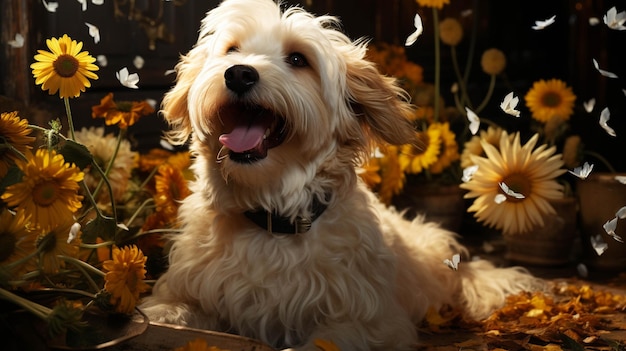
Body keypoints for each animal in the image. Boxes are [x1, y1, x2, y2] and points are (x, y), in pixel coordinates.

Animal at [139, 0, 540, 350]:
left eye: (298, 59)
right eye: (232, 49)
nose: (239, 73)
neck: (273, 221)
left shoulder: (369, 322)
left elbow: (323, 342)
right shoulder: (190, 291)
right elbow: (167, 312)